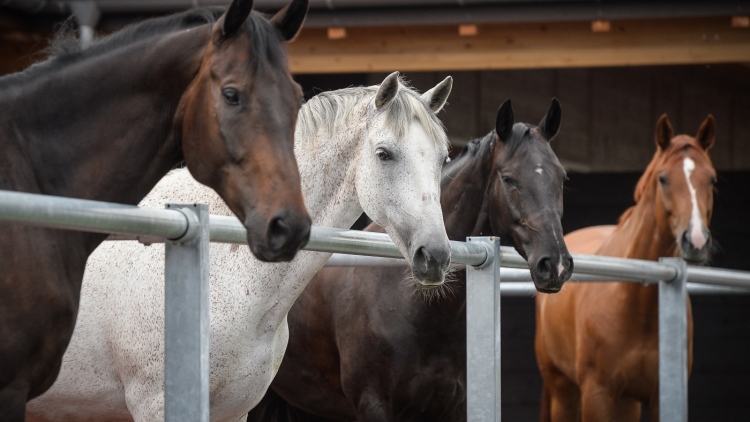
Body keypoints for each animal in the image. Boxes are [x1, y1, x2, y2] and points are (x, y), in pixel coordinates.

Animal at [536, 113, 720, 420]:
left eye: (712, 179)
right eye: (663, 178)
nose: (696, 240)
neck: (636, 302)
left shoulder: (659, 397)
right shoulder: (597, 396)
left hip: (626, 404)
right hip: (564, 392)